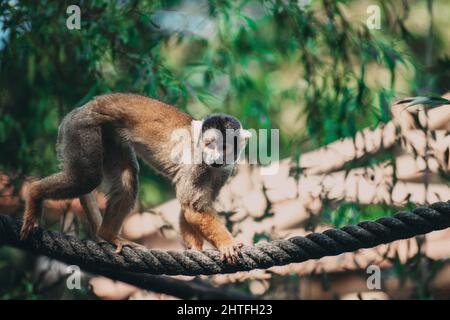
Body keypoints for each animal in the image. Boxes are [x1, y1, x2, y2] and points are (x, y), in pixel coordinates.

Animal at [21, 92, 251, 264]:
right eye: (209, 145)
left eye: (224, 147)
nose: (214, 157)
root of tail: (81, 108)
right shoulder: (196, 164)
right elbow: (193, 207)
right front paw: (227, 244)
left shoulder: (224, 171)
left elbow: (190, 206)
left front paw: (194, 248)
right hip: (82, 129)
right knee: (87, 179)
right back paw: (35, 193)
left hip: (107, 134)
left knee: (127, 178)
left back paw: (108, 234)